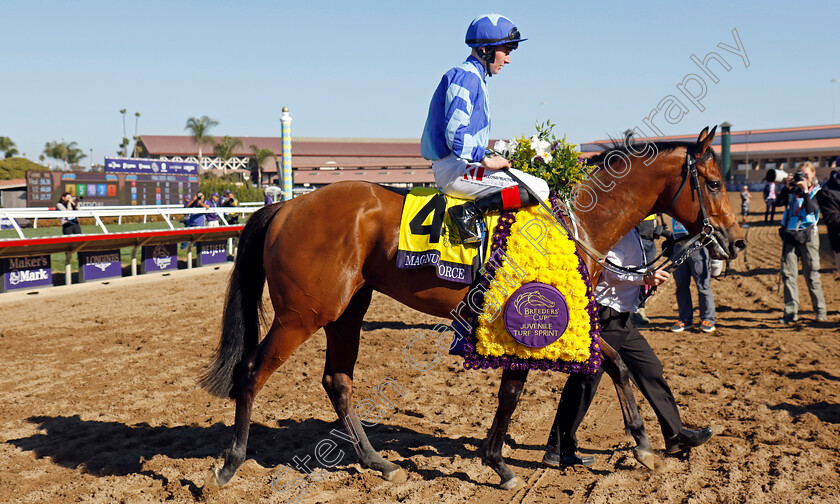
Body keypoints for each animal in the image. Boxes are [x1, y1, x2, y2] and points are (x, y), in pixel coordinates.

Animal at [200, 128, 744, 490]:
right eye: (715, 183)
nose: (735, 241)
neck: (576, 226)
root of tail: (286, 205)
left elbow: (609, 366)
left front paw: (645, 443)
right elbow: (518, 392)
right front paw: (501, 463)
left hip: (347, 311)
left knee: (338, 382)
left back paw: (378, 463)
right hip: (302, 315)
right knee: (251, 372)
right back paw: (230, 463)